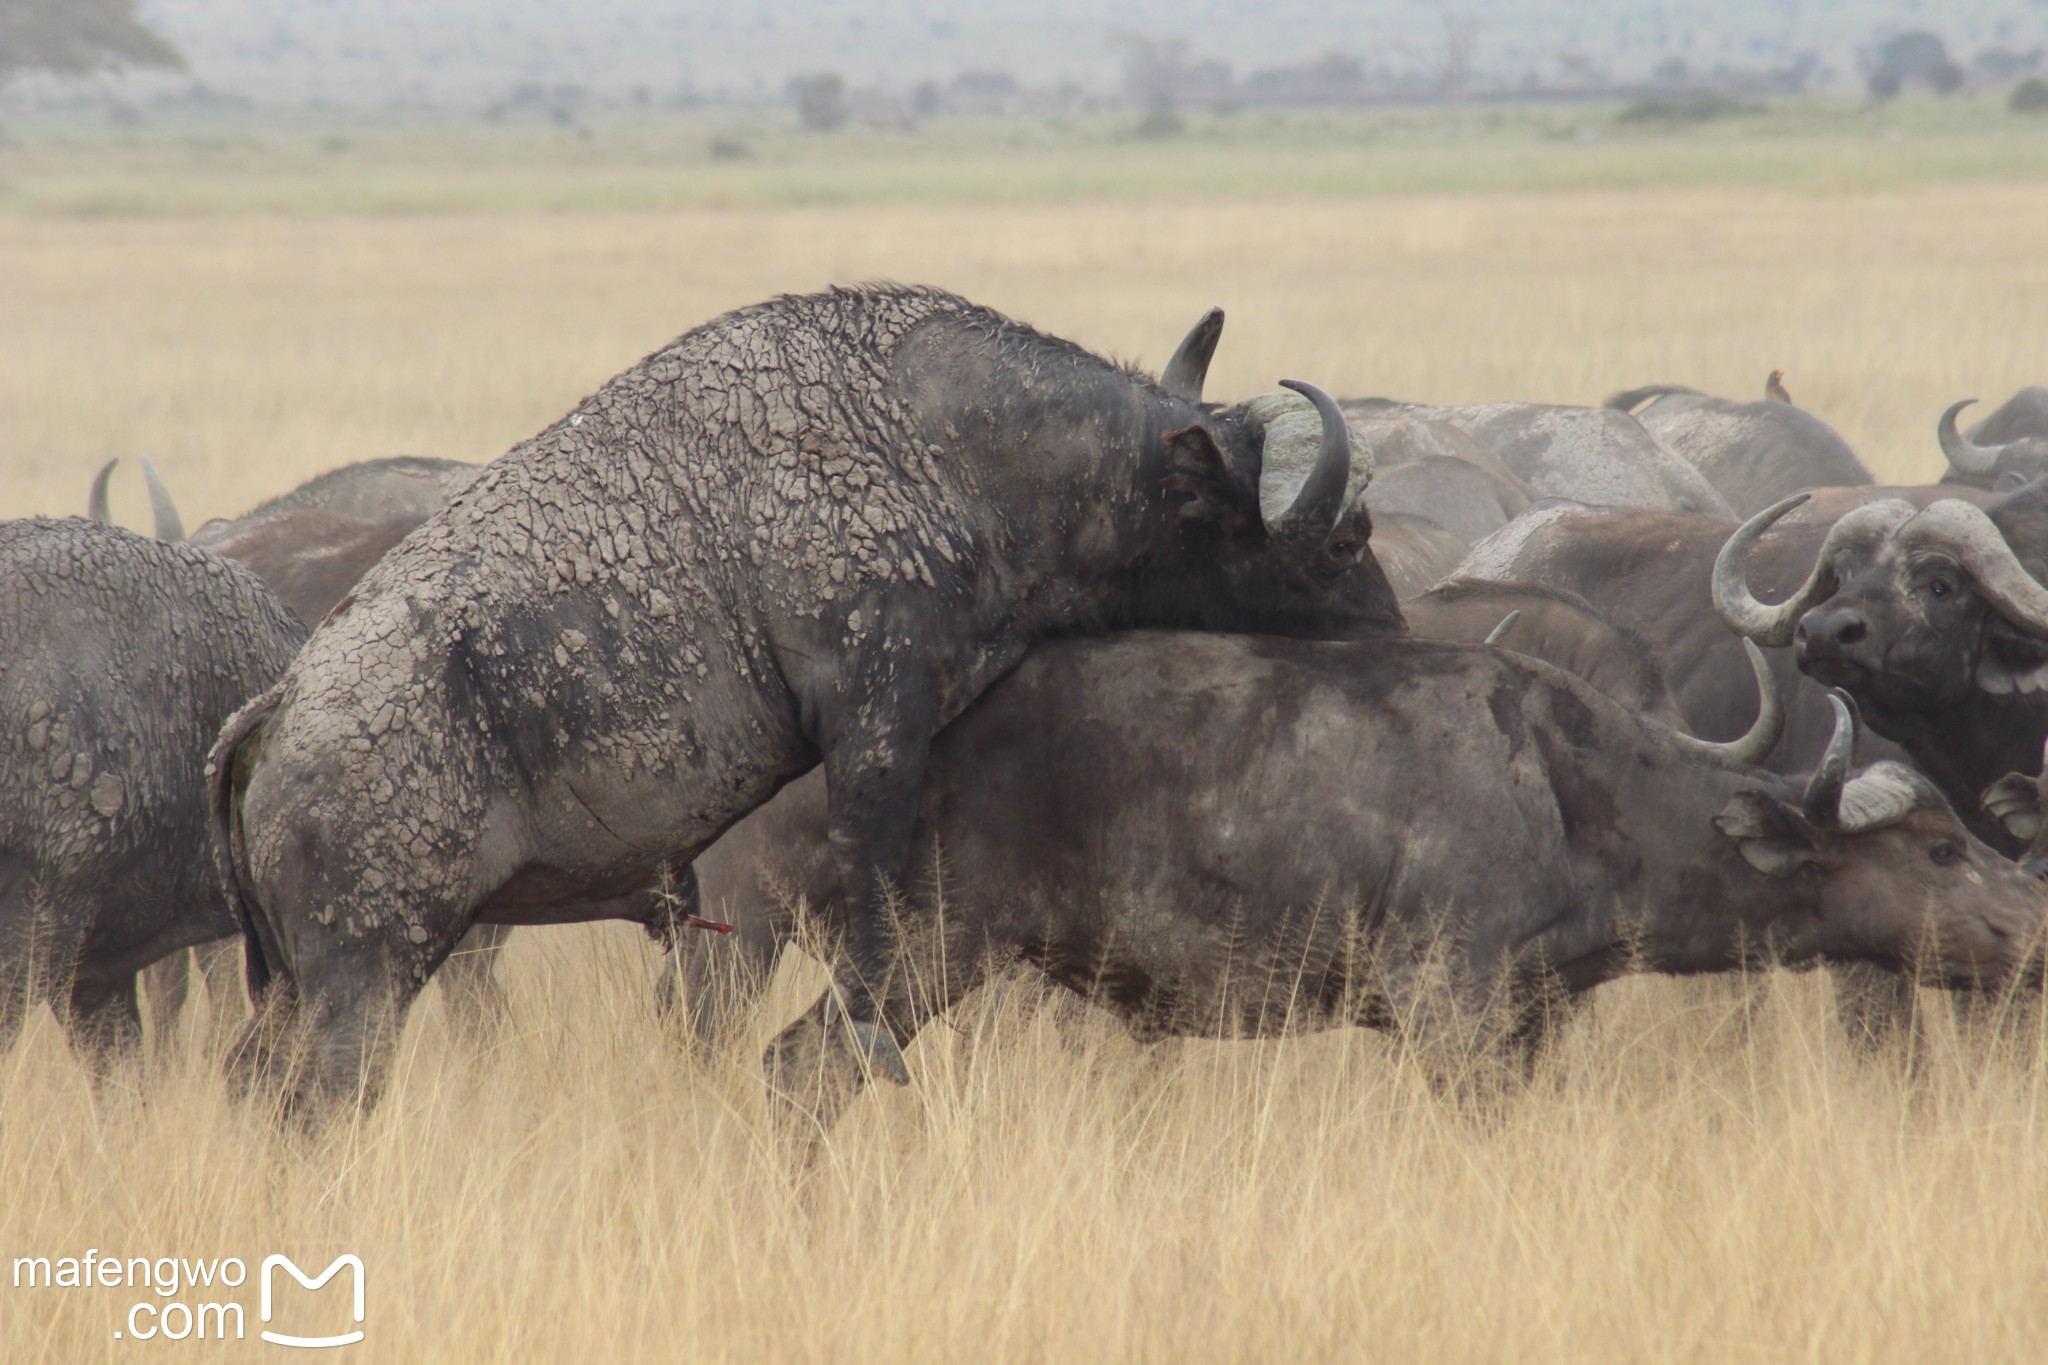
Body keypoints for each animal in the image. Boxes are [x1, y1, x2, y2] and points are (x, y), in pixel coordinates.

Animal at [211, 286, 1409, 1113]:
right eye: (1341, 540)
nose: (1395, 635)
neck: (948, 448)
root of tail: (280, 708)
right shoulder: (875, 719)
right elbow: (869, 898)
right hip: (365, 979)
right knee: (320, 1099)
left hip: (301, 985)